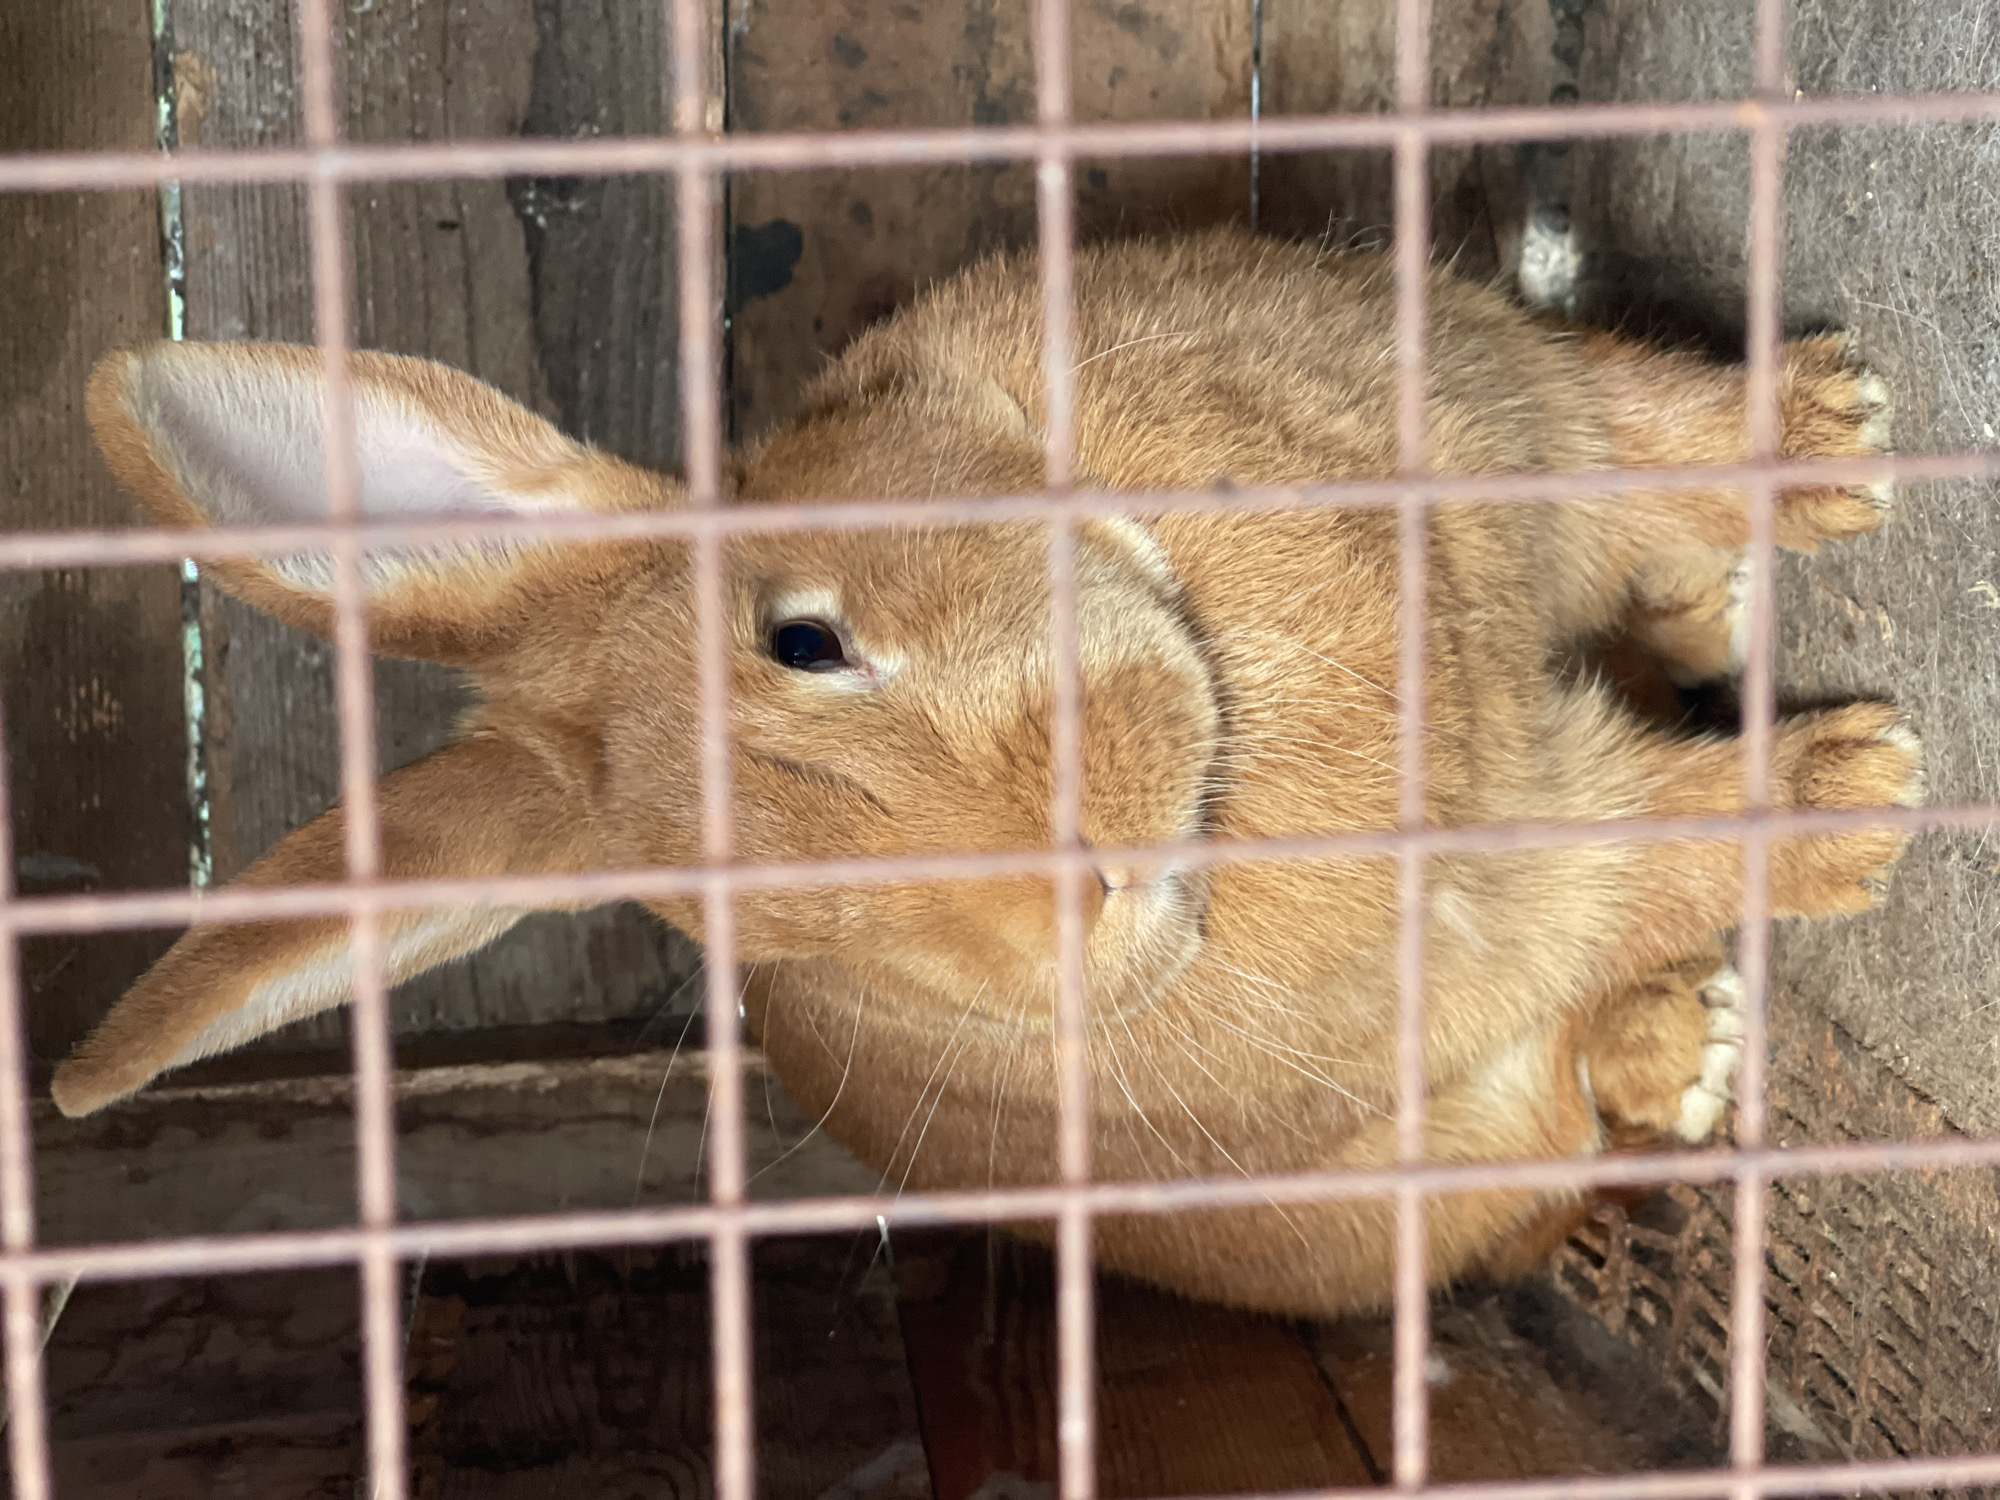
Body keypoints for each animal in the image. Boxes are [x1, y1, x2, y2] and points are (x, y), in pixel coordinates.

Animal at [54, 227, 1919, 1317]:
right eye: (745, 929)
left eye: (806, 637)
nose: (1076, 895)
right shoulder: (1530, 878)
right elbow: (1663, 844)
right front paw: (1865, 795)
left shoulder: (1510, 407)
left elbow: (1638, 435)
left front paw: (1833, 433)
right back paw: (1694, 1045)